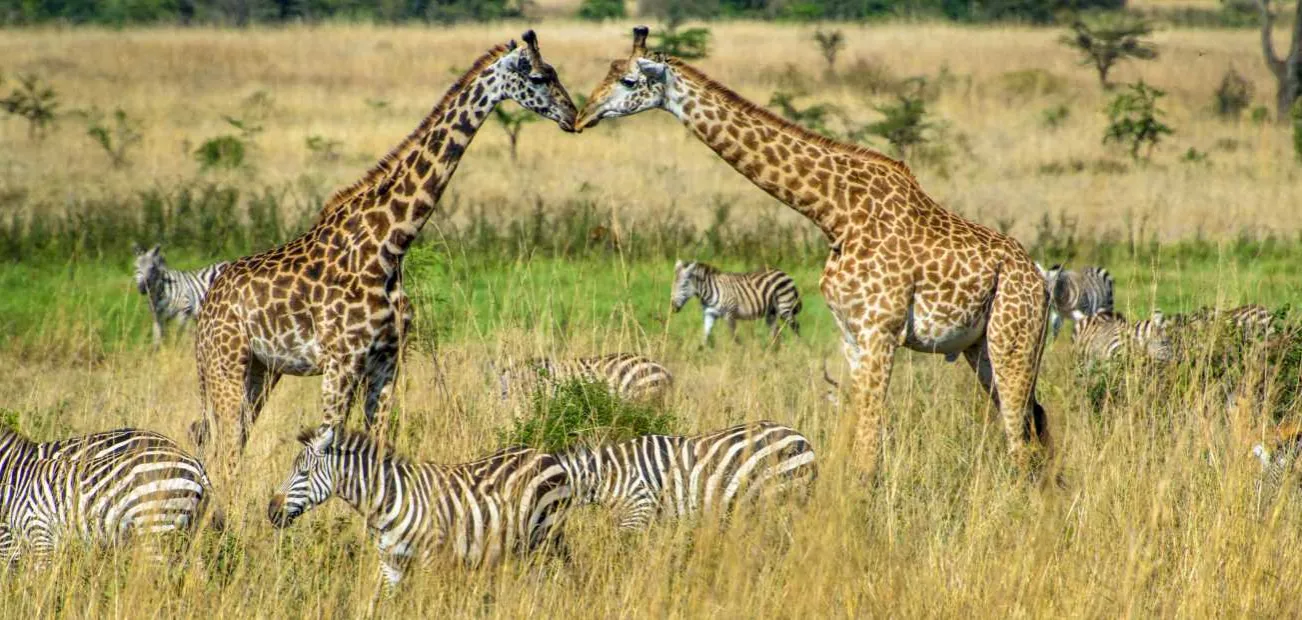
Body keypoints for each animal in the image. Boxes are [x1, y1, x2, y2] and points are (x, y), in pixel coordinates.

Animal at [267, 425, 574, 587]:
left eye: (303, 473)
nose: (272, 511)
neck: (386, 501)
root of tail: (545, 454)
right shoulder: (390, 564)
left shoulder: (430, 558)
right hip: (521, 544)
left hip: (547, 535)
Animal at [671, 260, 802, 346]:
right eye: (673, 284)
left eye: (683, 285)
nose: (673, 308)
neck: (709, 292)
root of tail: (784, 273)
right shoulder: (709, 314)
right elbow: (705, 336)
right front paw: (700, 354)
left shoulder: (730, 314)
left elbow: (734, 337)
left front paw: (737, 354)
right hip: (771, 312)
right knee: (775, 332)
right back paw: (773, 350)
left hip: (785, 308)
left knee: (795, 327)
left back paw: (797, 348)